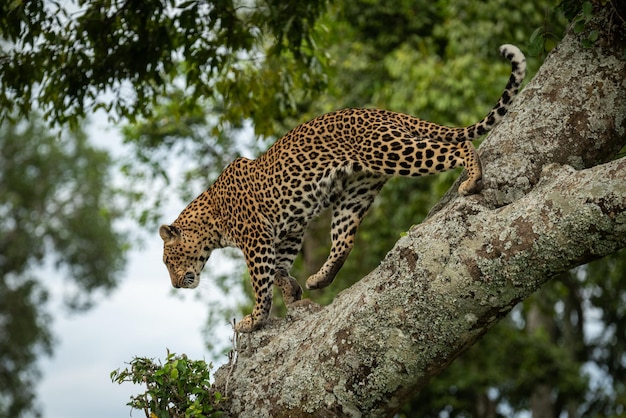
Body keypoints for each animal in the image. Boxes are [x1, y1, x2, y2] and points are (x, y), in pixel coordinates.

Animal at [158, 45, 524, 334]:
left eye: (168, 260)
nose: (175, 285)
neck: (211, 221)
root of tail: (379, 111)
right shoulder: (288, 231)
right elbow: (279, 267)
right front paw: (291, 290)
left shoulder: (256, 239)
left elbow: (260, 281)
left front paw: (254, 319)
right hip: (356, 191)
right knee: (344, 240)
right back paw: (319, 279)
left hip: (392, 152)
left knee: (459, 145)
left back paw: (473, 178)